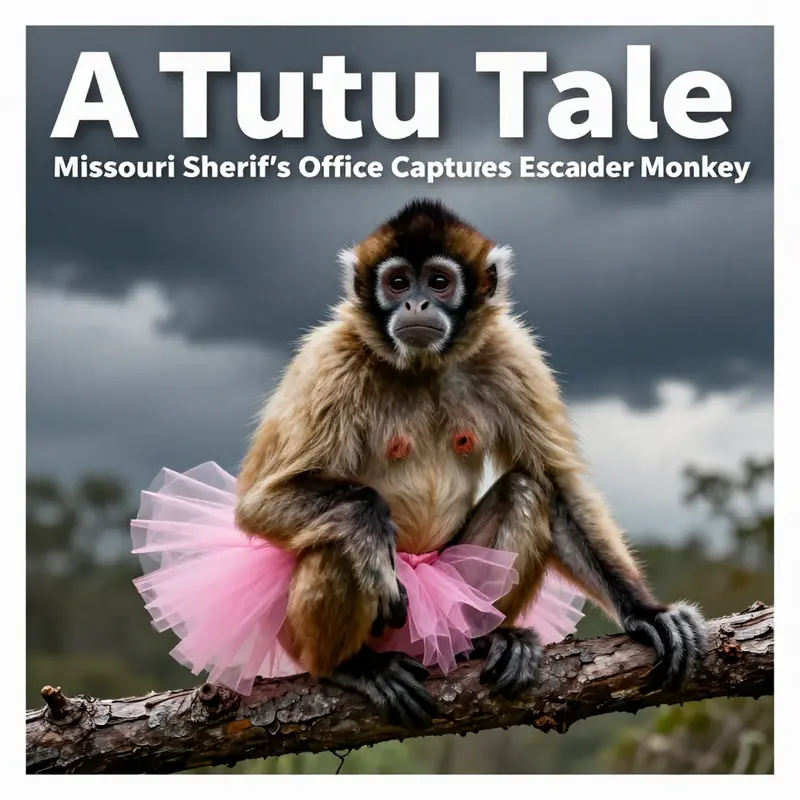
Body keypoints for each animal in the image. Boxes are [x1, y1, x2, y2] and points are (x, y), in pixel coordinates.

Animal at [235, 199, 708, 728]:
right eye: (398, 283)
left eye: (439, 282)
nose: (416, 304)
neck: (422, 368)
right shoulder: (329, 358)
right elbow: (260, 506)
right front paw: (370, 528)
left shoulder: (510, 352)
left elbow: (556, 487)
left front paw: (647, 614)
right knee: (344, 532)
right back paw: (350, 664)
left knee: (526, 490)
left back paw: (483, 642)